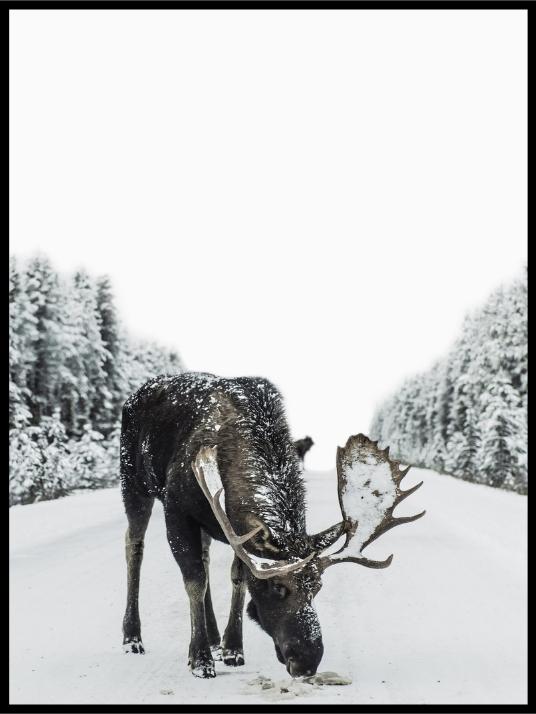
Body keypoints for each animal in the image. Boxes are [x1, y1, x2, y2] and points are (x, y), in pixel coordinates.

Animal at [120, 372, 424, 678]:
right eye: (278, 587)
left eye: (318, 587)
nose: (307, 661)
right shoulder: (177, 509)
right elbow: (195, 581)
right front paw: (200, 659)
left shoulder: (238, 531)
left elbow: (238, 578)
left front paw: (233, 648)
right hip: (133, 483)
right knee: (134, 546)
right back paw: (132, 638)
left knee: (204, 557)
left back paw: (215, 637)